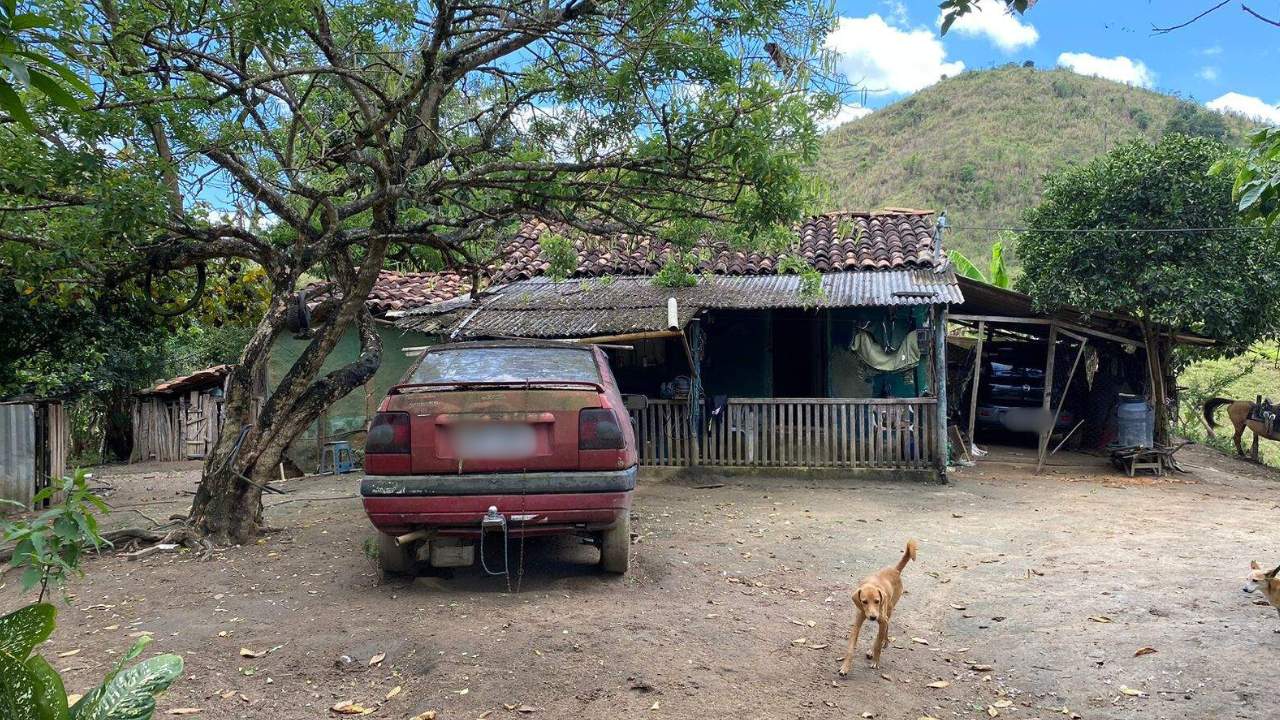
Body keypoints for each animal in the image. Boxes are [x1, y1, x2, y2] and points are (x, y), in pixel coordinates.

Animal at [834, 538, 916, 671]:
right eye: (864, 602)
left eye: (877, 601)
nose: (873, 617)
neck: (871, 584)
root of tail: (895, 570)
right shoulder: (857, 623)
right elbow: (850, 648)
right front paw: (845, 667)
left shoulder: (882, 619)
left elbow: (878, 642)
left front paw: (876, 661)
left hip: (888, 611)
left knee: (884, 631)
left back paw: (881, 644)